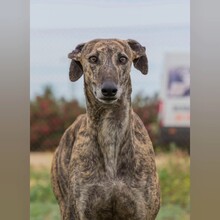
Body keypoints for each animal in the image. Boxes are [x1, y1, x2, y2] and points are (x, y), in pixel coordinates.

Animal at [51, 38, 162, 219]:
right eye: (93, 58)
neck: (111, 131)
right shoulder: (84, 210)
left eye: (123, 59)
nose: (109, 89)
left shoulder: (141, 211)